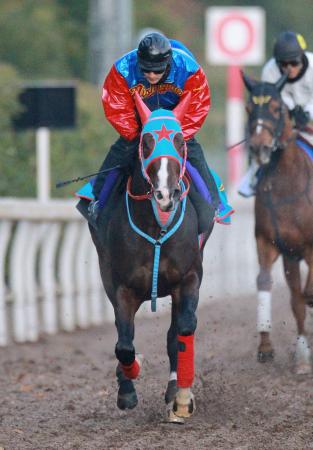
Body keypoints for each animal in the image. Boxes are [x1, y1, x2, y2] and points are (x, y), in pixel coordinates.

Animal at [89, 92, 213, 422]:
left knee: (175, 333)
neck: (156, 226)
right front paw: (128, 383)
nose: (165, 195)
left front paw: (181, 397)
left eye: (180, 141)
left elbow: (183, 330)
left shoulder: (189, 278)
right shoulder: (121, 287)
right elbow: (124, 345)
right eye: (145, 142)